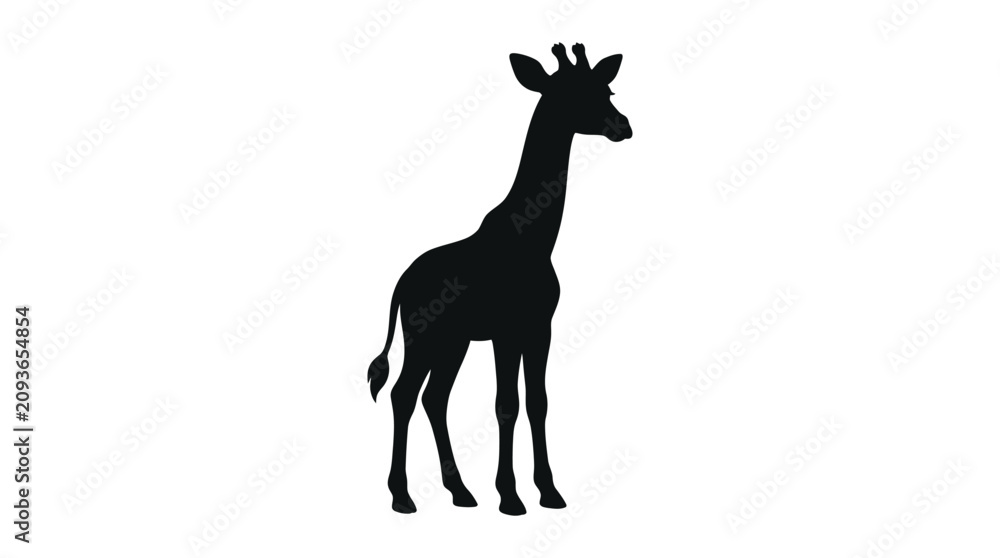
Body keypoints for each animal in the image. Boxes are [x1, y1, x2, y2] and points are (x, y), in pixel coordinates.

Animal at [368, 43, 632, 515]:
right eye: (569, 95)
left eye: (607, 89)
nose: (624, 126)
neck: (533, 240)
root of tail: (401, 283)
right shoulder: (507, 330)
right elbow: (506, 403)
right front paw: (510, 496)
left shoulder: (539, 327)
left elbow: (537, 401)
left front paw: (549, 492)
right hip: (423, 336)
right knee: (404, 394)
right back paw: (402, 496)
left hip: (452, 341)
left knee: (434, 398)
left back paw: (460, 492)